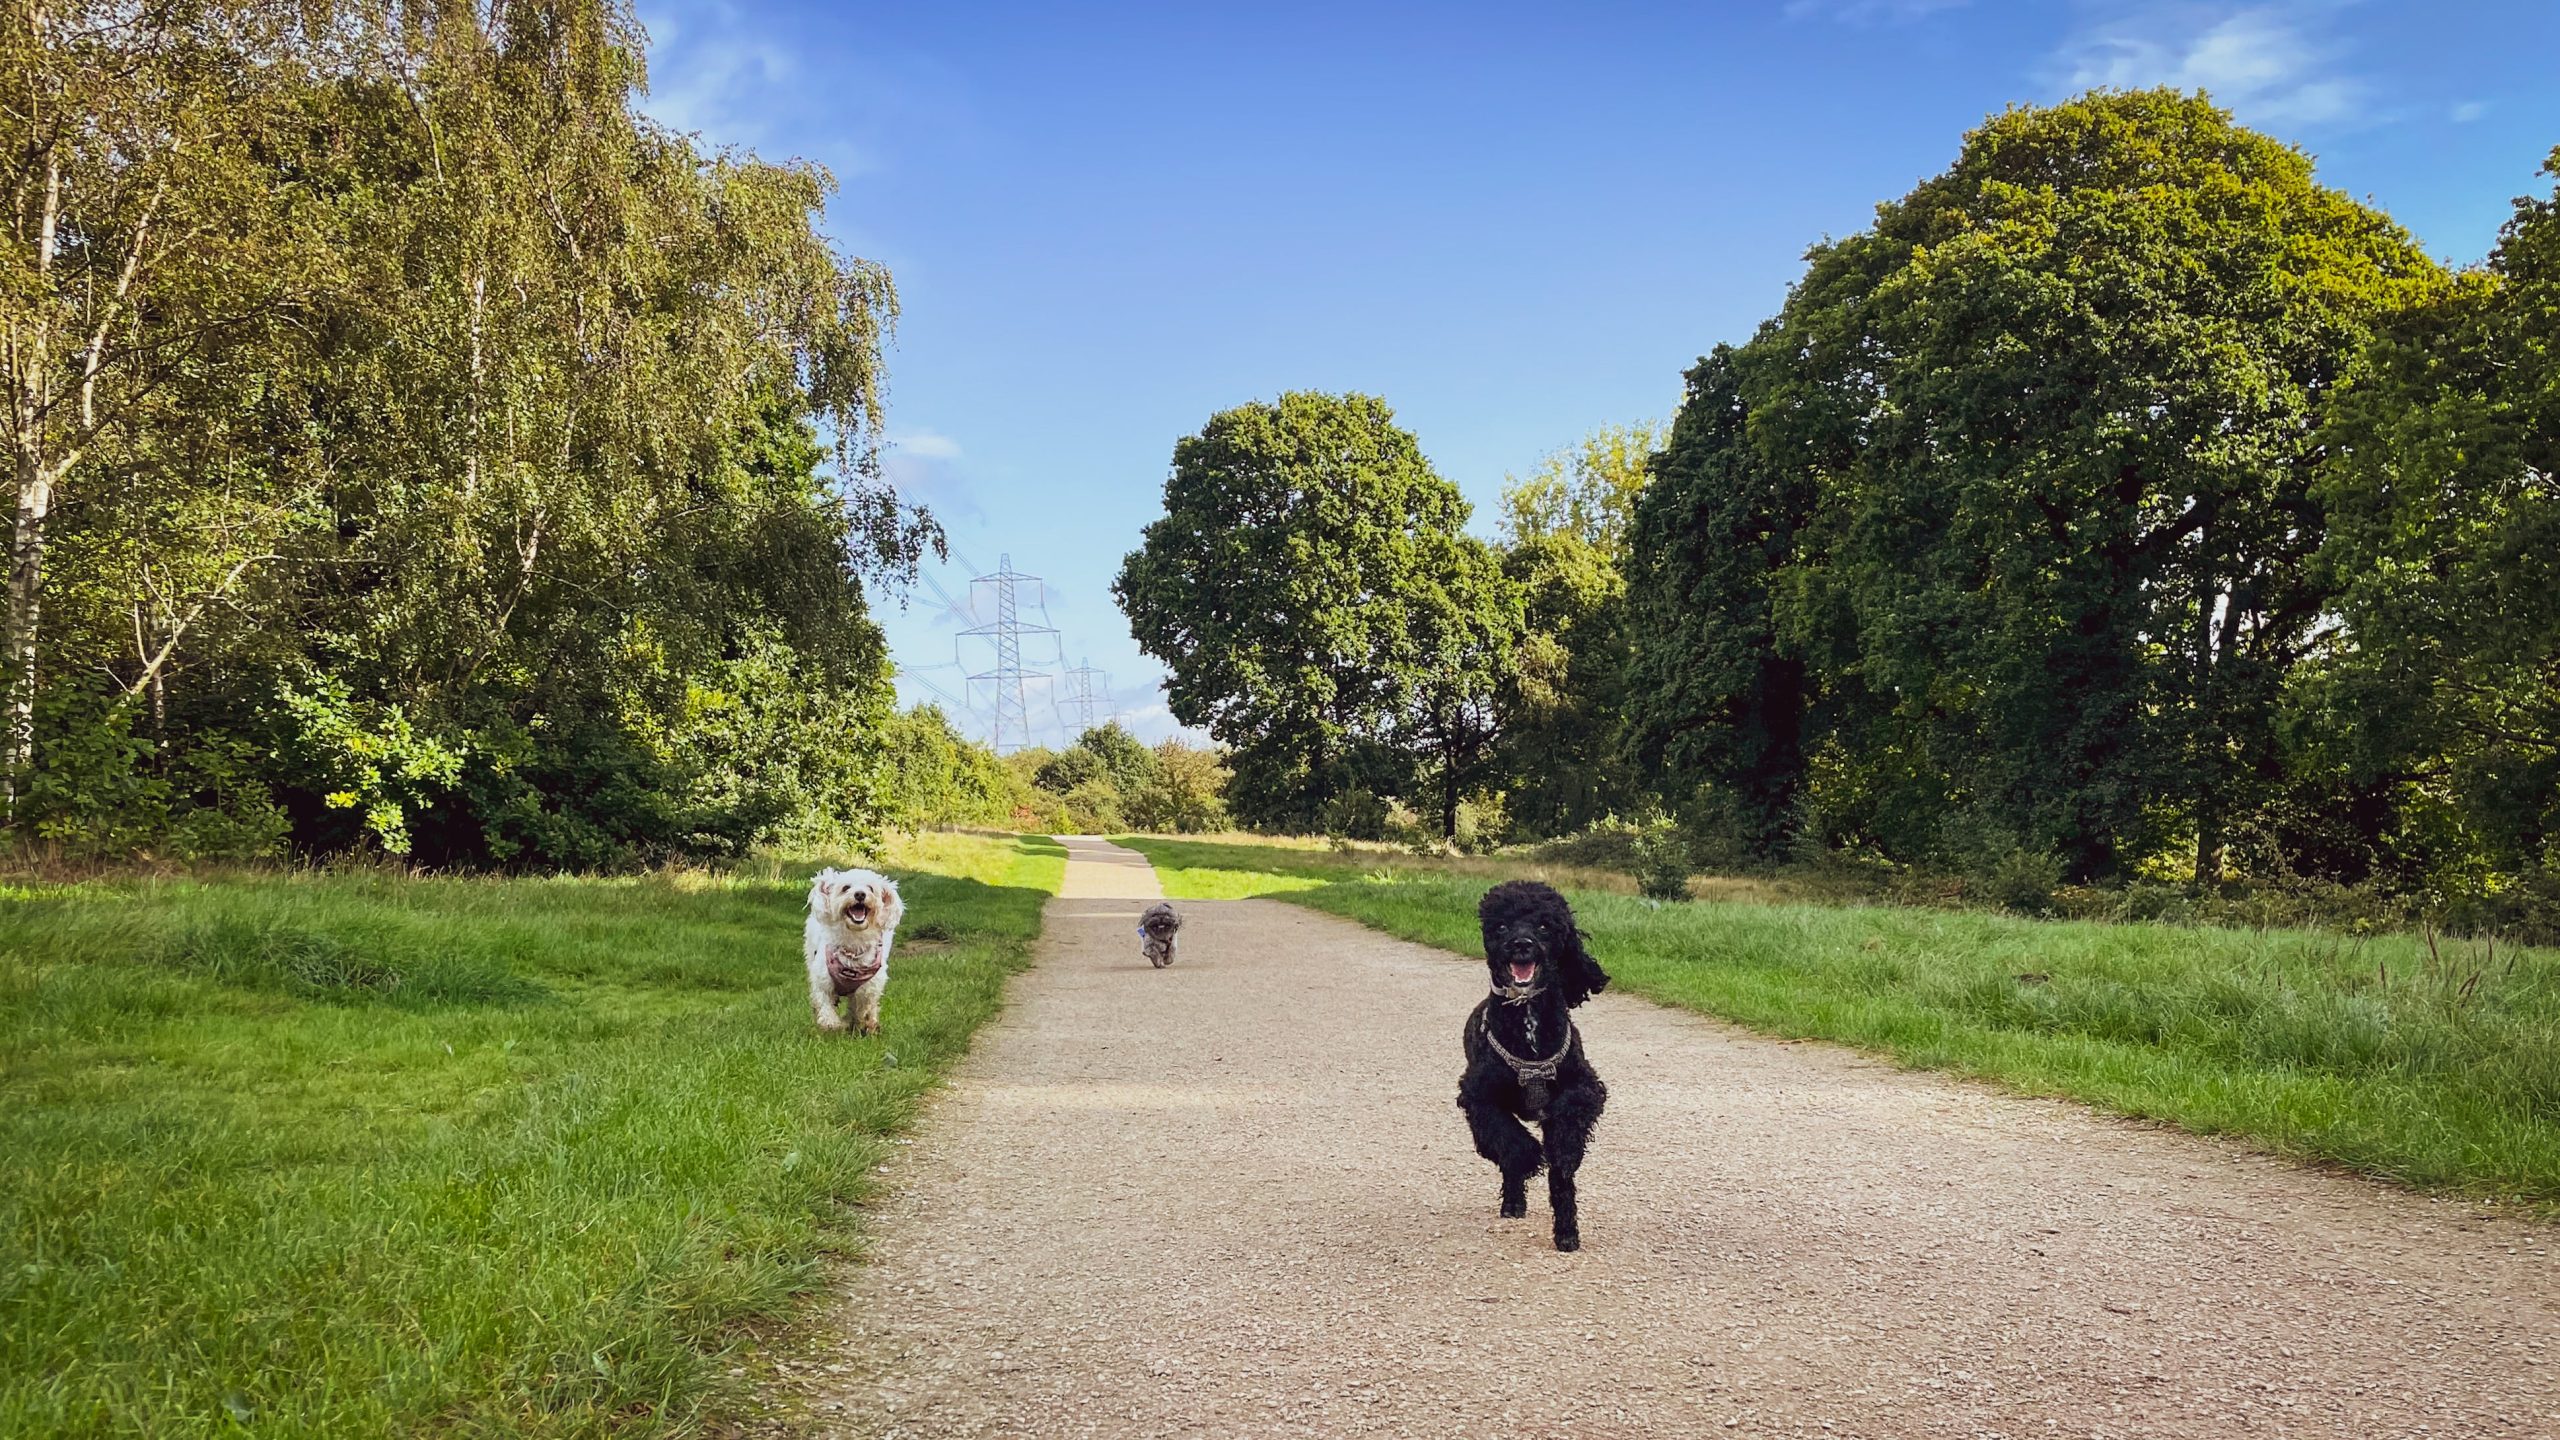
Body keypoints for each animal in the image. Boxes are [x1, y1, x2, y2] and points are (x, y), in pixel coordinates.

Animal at [814, 860, 916, 1030]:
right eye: (846, 888)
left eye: (870, 888)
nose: (860, 894)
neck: (854, 941)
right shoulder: (823, 979)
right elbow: (825, 1001)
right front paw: (832, 1023)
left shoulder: (870, 984)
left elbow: (863, 1004)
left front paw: (860, 1022)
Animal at [1454, 876, 1607, 1245]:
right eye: (1501, 926)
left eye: (1544, 925)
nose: (1521, 944)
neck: (1527, 1019)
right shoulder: (1478, 1096)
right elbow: (1510, 1140)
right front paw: (1530, 1156)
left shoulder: (1584, 1086)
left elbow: (1566, 1127)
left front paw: (1563, 1151)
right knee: (1505, 1156)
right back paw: (1514, 1202)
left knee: (1561, 1186)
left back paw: (1566, 1233)